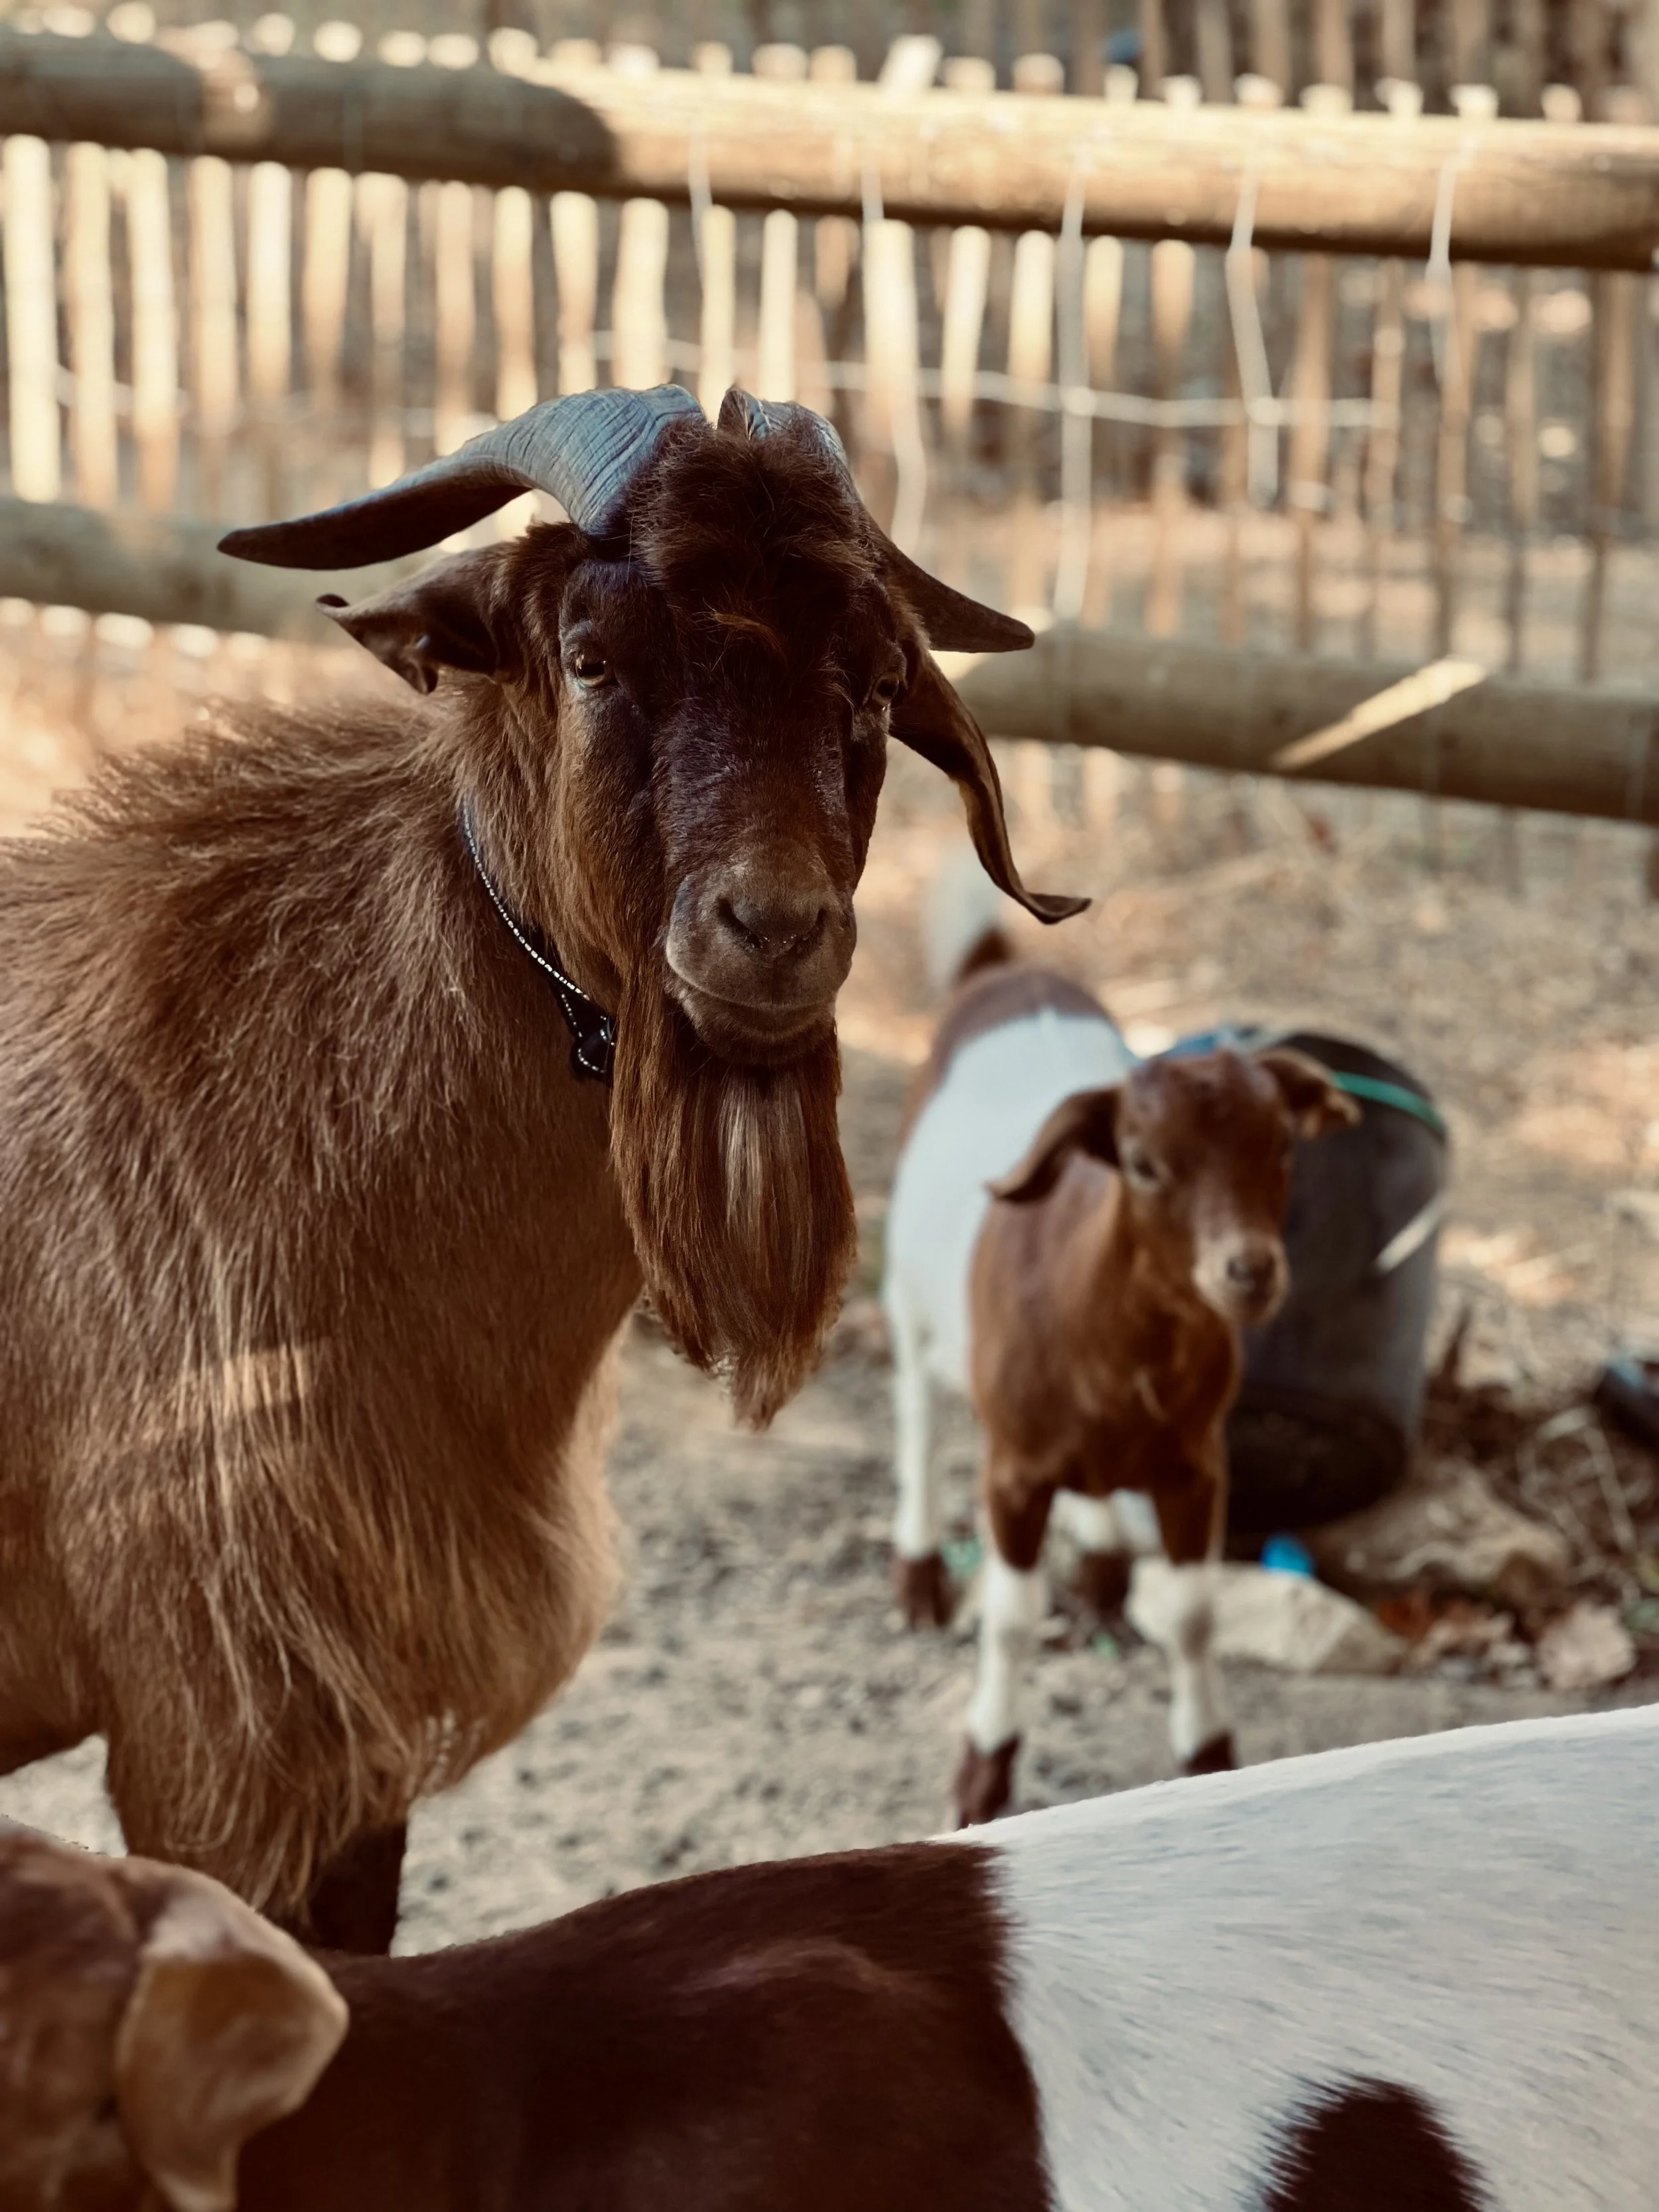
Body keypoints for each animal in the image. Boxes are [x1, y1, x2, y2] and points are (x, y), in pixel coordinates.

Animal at [882, 907, 1355, 1824]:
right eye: (1141, 1162)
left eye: (1283, 1144)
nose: (1247, 1272)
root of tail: (1006, 972)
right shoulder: (1013, 1471)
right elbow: (1010, 1619)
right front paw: (982, 1771)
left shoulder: (1196, 1463)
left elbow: (1195, 1615)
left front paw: (1209, 1754)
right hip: (907, 1294)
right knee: (917, 1412)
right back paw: (918, 1574)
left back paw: (1100, 1570)